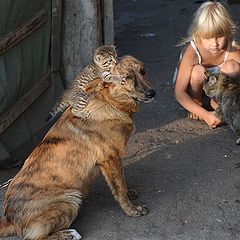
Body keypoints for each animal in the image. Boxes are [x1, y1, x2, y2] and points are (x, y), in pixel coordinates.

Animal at [0, 55, 156, 239]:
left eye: (143, 71)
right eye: (127, 78)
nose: (152, 93)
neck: (109, 101)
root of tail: (9, 217)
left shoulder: (112, 162)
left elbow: (121, 182)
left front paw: (130, 194)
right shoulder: (110, 159)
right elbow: (120, 189)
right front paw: (132, 210)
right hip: (71, 198)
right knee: (34, 237)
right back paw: (68, 234)